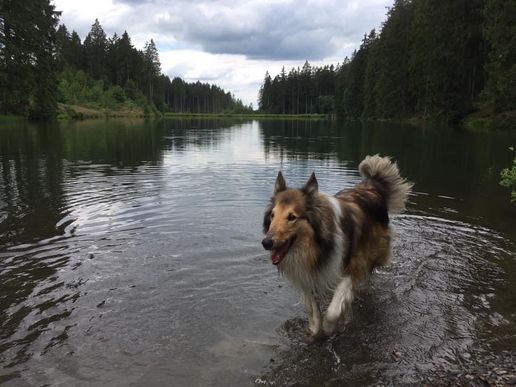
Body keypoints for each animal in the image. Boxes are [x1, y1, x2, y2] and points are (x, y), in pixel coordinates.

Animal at [262, 156, 412, 338]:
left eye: (292, 217)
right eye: (272, 215)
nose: (266, 243)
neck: (316, 247)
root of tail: (372, 187)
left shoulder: (351, 267)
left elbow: (333, 310)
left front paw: (329, 327)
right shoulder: (308, 274)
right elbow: (311, 307)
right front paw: (314, 329)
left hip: (375, 252)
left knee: (369, 272)